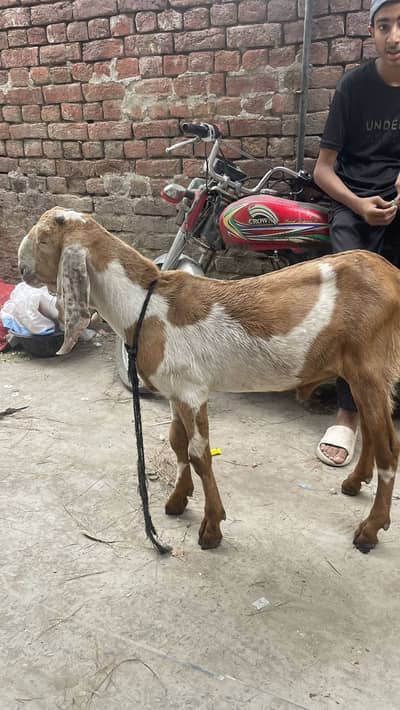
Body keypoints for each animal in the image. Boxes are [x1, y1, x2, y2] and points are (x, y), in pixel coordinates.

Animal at [18, 206, 400, 553]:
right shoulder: (175, 390)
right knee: (370, 429)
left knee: (389, 449)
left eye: (43, 238)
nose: (22, 268)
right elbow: (176, 443)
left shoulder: (191, 392)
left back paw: (369, 530)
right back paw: (354, 482)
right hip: (359, 373)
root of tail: (391, 273)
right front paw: (177, 501)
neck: (146, 304)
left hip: (369, 368)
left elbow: (199, 453)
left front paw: (211, 528)